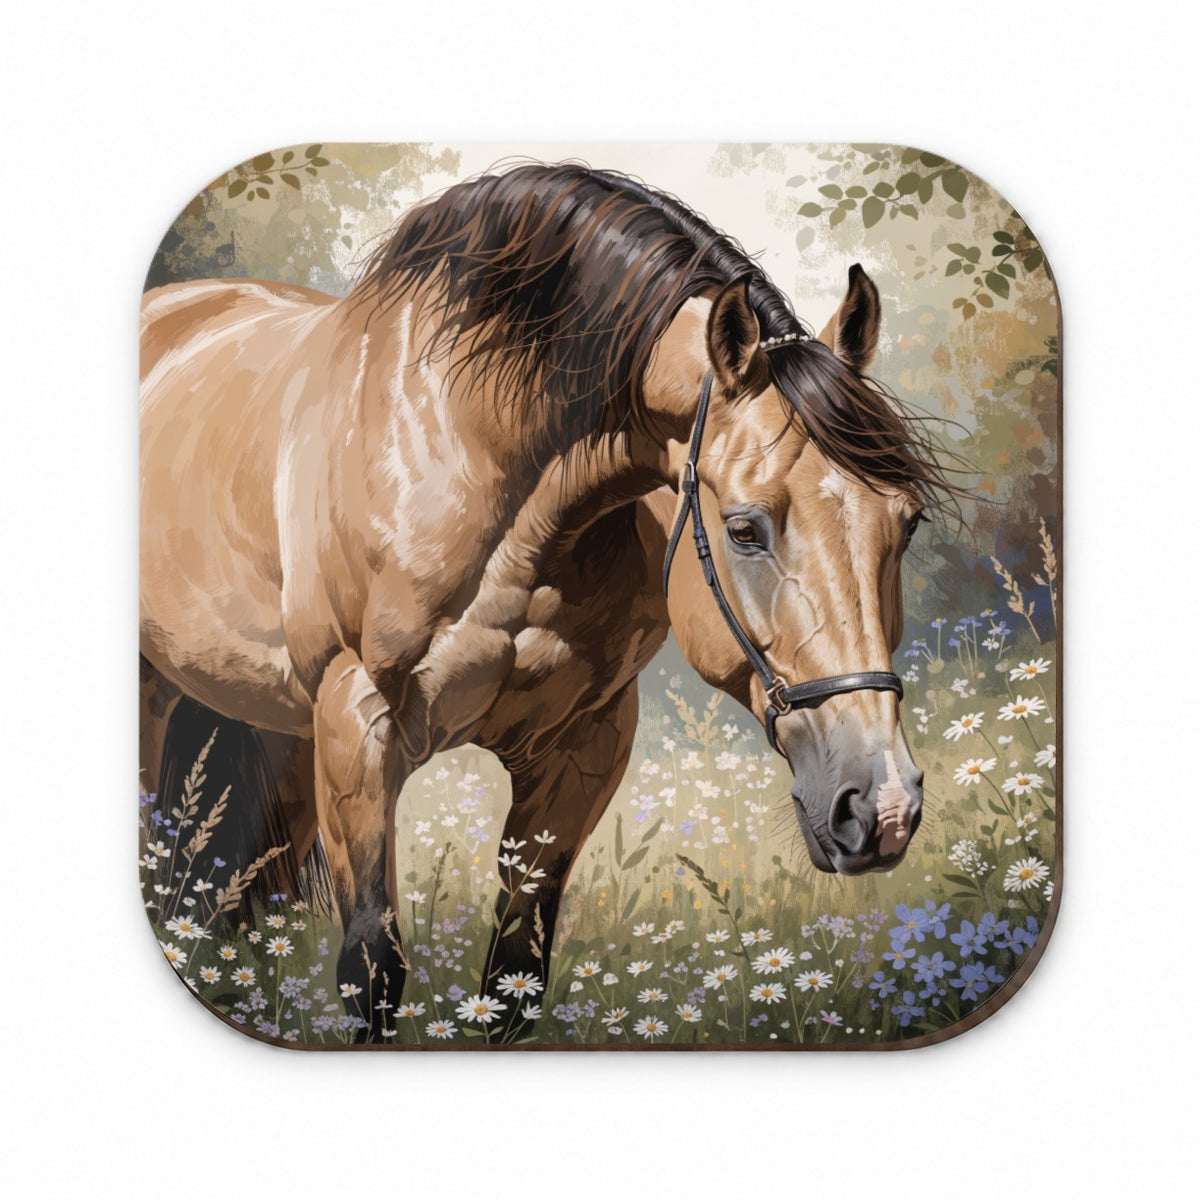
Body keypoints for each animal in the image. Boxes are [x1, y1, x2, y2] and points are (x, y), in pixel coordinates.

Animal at [140, 162, 951, 1041]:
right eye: (744, 529)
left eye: (907, 521)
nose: (884, 807)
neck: (475, 459)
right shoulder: (358, 726)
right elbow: (373, 970)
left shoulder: (582, 746)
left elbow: (513, 978)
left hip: (280, 731)